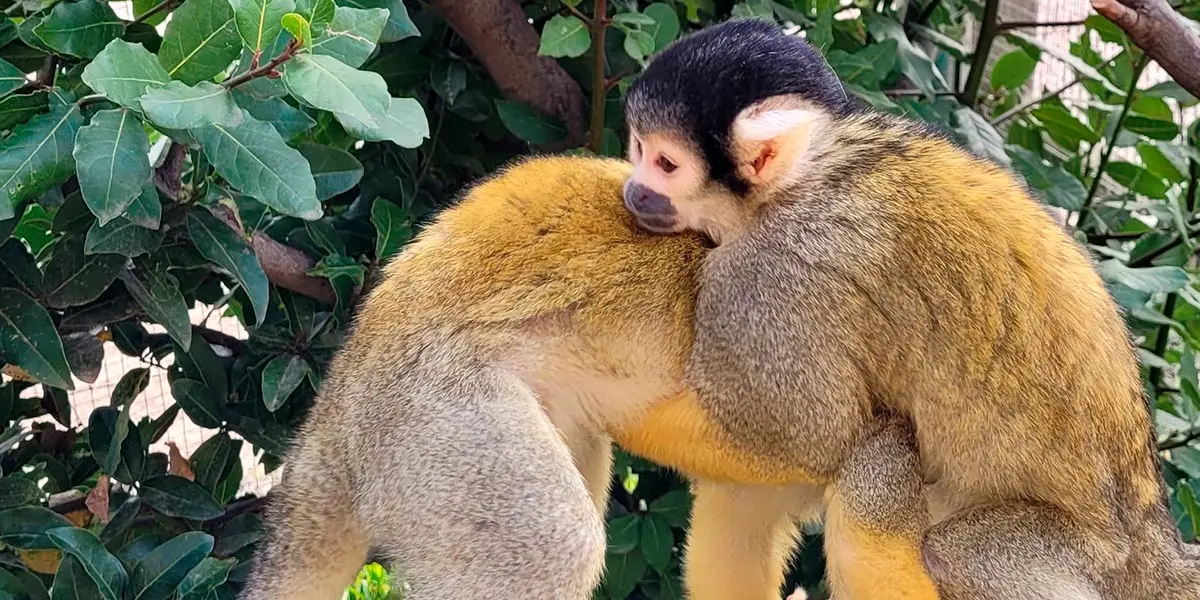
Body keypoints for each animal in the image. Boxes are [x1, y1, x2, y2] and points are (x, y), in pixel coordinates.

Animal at [618, 17, 1200, 600]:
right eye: (638, 148)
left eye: (665, 164)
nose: (634, 191)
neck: (804, 177)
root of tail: (1158, 550)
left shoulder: (769, 276)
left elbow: (810, 439)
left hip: (1082, 558)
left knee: (959, 551)